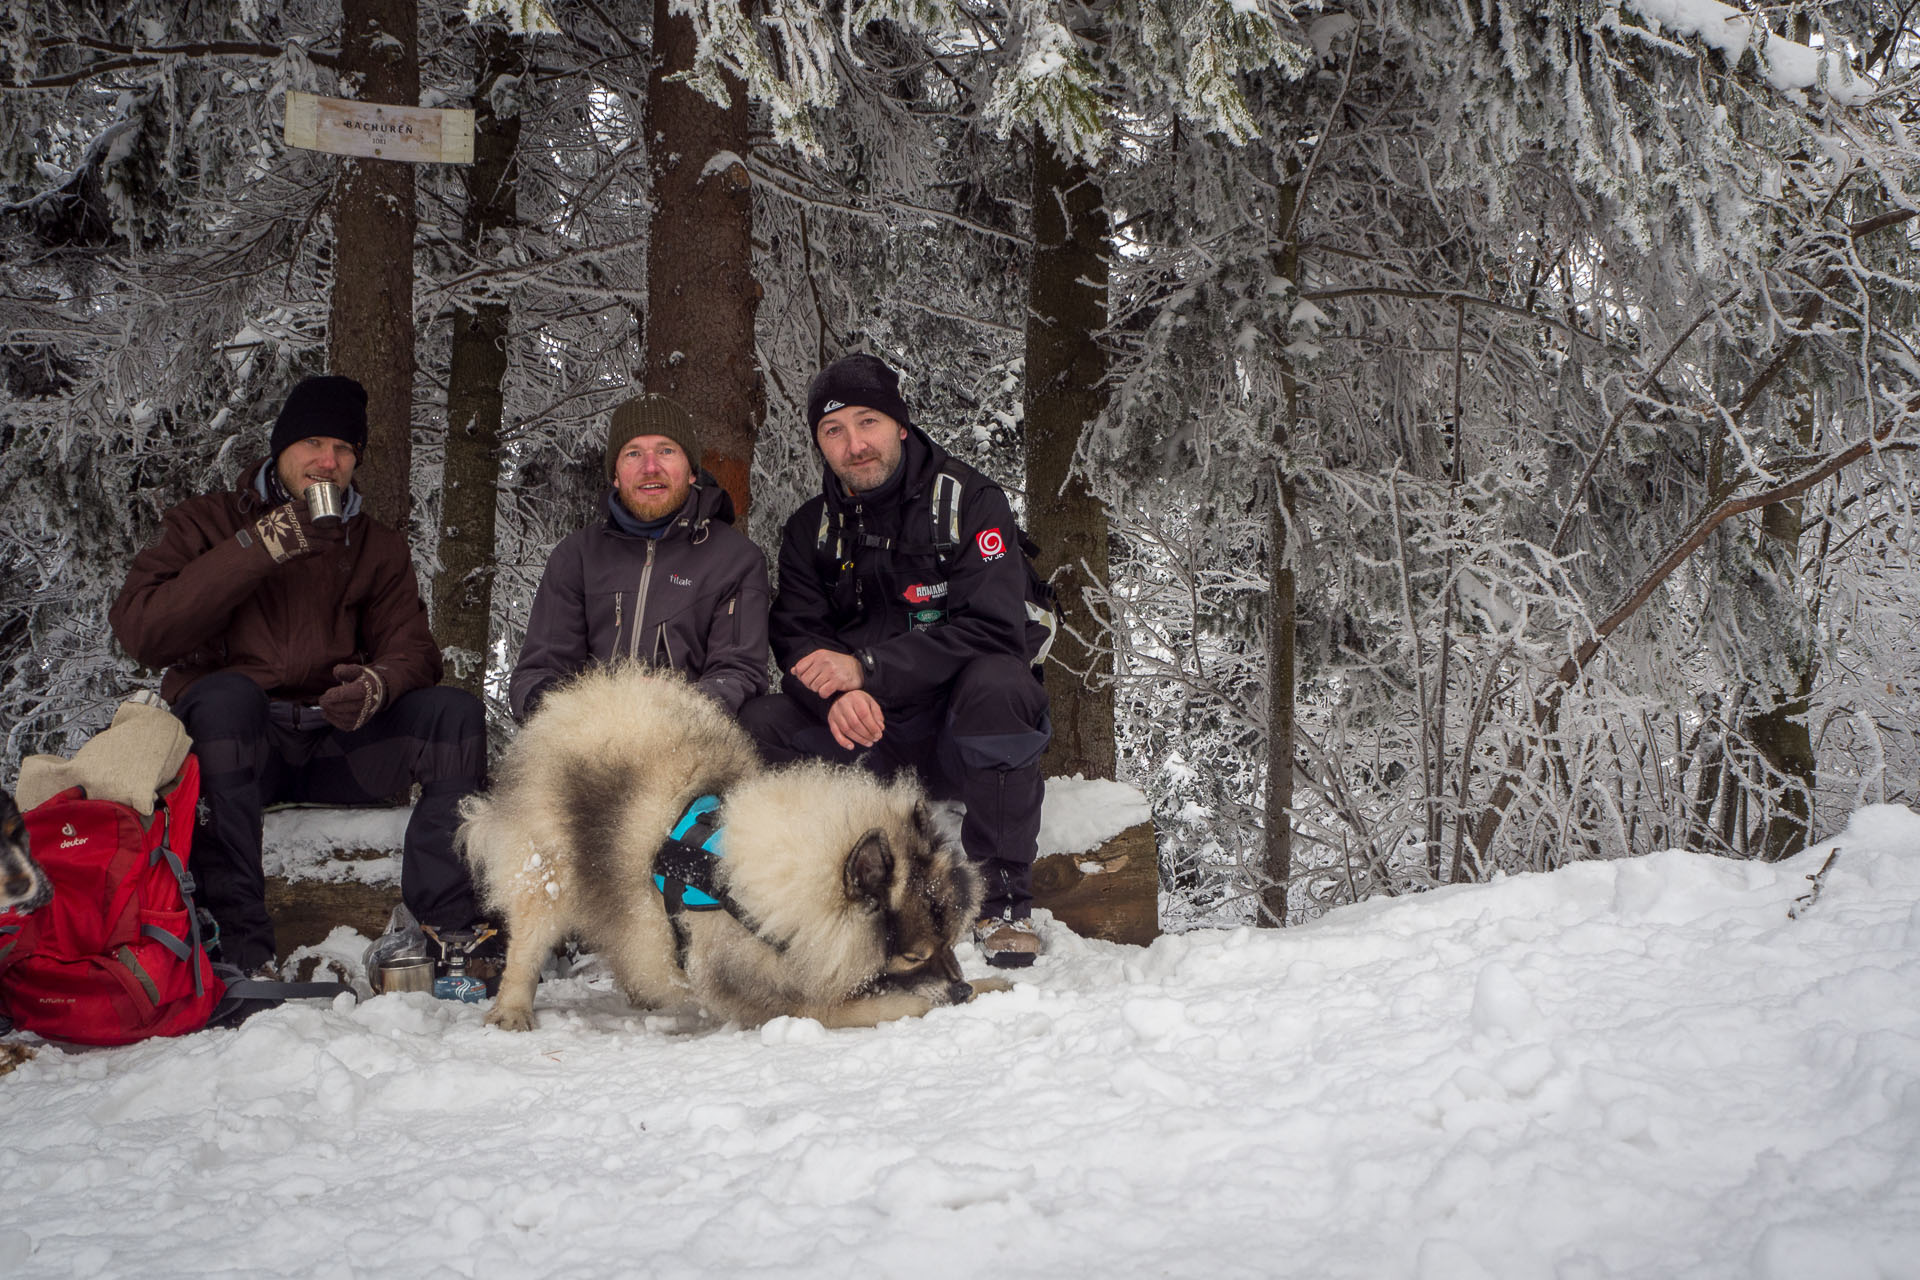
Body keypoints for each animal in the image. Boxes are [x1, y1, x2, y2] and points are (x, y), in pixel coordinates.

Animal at [453, 667, 1006, 1036]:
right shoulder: (793, 999)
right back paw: (513, 1011)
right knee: (526, 945)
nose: (959, 987)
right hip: (547, 874)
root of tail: (561, 709)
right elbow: (894, 1003)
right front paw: (957, 998)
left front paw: (987, 988)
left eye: (951, 942)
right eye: (913, 956)